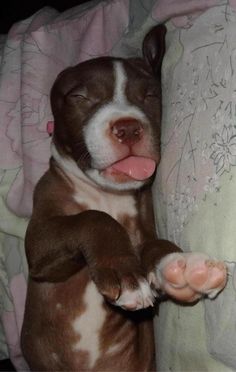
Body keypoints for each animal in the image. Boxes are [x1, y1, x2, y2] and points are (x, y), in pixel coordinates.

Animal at [20, 26, 227, 372]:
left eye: (150, 96)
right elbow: (93, 218)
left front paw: (181, 265)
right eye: (80, 97)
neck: (108, 194)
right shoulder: (40, 245)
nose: (128, 127)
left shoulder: (142, 227)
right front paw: (124, 272)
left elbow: (153, 246)